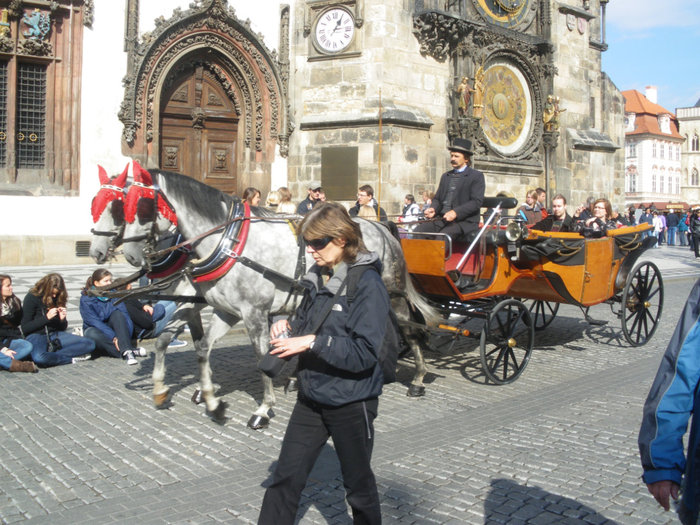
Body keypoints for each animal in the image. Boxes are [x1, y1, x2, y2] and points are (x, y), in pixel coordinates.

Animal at [120, 166, 438, 428]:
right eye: (120, 205)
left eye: (142, 205)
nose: (128, 255)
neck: (228, 241)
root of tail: (382, 227)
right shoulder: (224, 310)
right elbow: (199, 346)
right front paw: (207, 399)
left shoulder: (254, 313)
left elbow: (261, 357)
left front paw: (263, 409)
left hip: (392, 293)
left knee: (409, 330)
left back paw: (418, 379)